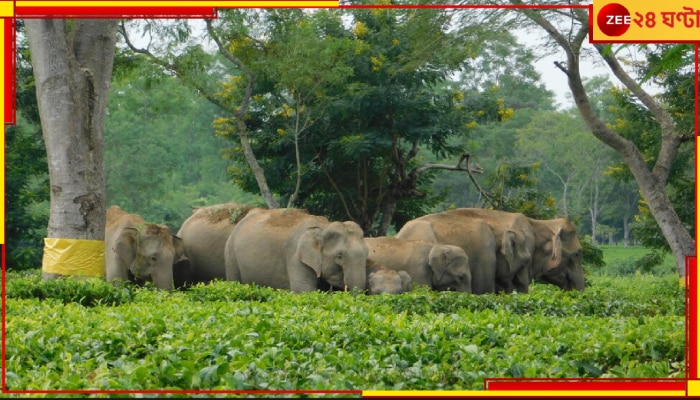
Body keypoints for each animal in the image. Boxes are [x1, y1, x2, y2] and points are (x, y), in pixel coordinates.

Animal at [226, 208, 370, 292]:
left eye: (367, 254)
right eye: (339, 256)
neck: (323, 227)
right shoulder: (295, 257)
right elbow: (304, 291)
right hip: (231, 254)